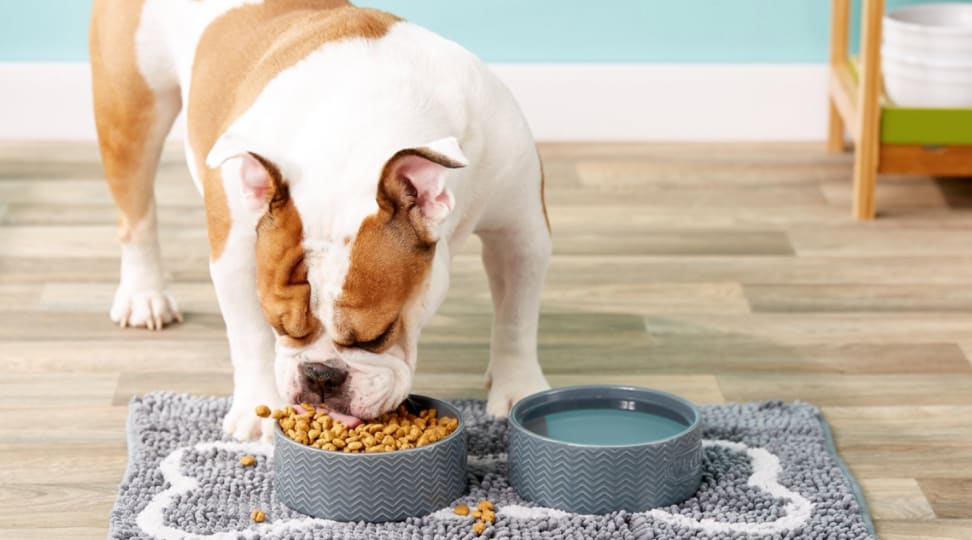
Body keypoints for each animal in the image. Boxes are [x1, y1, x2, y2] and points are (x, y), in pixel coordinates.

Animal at [92, 0, 556, 438]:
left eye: (378, 335)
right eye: (280, 325)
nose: (321, 375)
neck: (356, 130)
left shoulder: (521, 231)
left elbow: (516, 318)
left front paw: (517, 388)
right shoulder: (235, 247)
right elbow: (247, 334)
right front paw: (257, 408)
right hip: (131, 114)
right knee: (136, 214)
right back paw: (144, 295)